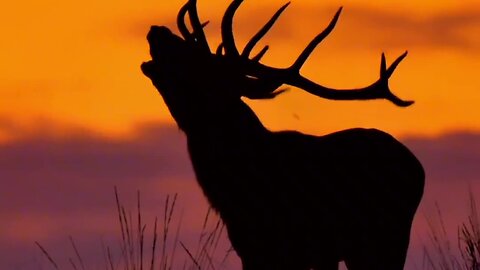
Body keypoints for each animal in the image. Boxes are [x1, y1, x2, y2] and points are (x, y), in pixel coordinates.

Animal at [142, 1, 424, 268]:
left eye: (202, 64)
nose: (158, 30)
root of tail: (418, 168)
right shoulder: (251, 250)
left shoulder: (307, 247)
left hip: (388, 238)